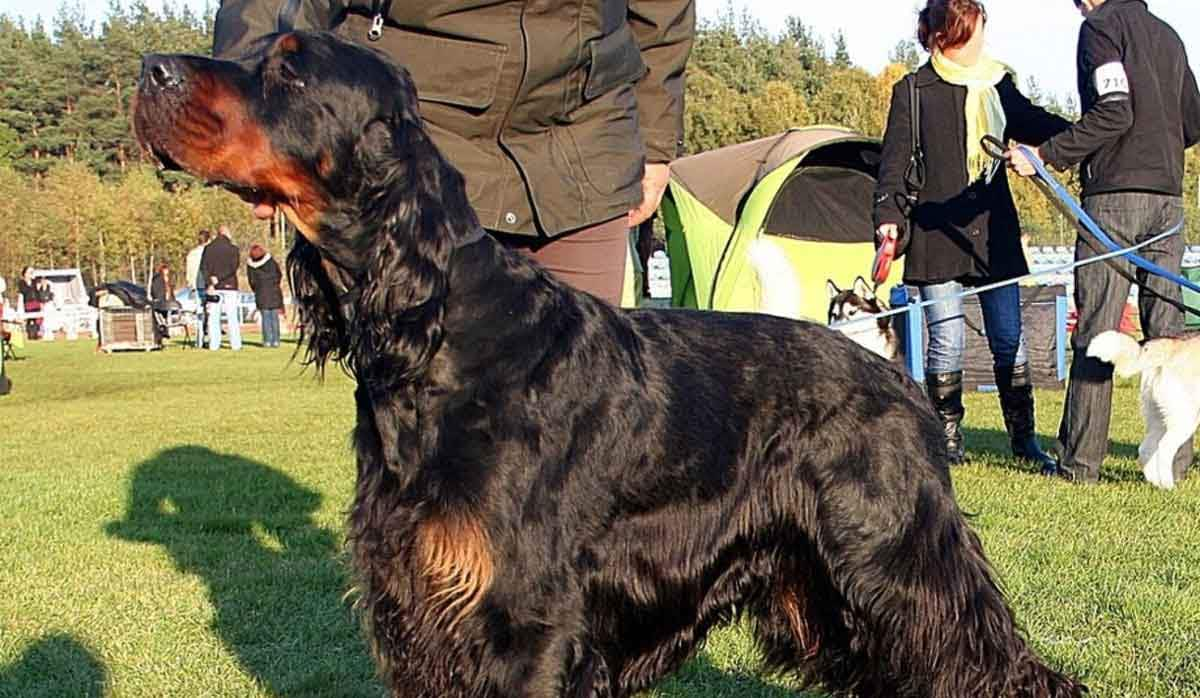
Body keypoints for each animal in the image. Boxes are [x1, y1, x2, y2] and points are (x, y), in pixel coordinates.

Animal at [133, 32, 1089, 698]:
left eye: (290, 72)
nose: (150, 71)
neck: (444, 336)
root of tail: (893, 372)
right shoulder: (418, 612)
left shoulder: (524, 620)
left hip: (896, 559)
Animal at [1089, 331, 1200, 489]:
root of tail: (1172, 346)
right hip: (1185, 418)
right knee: (1164, 448)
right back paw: (1169, 486)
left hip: (1159, 417)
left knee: (1146, 449)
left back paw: (1156, 484)